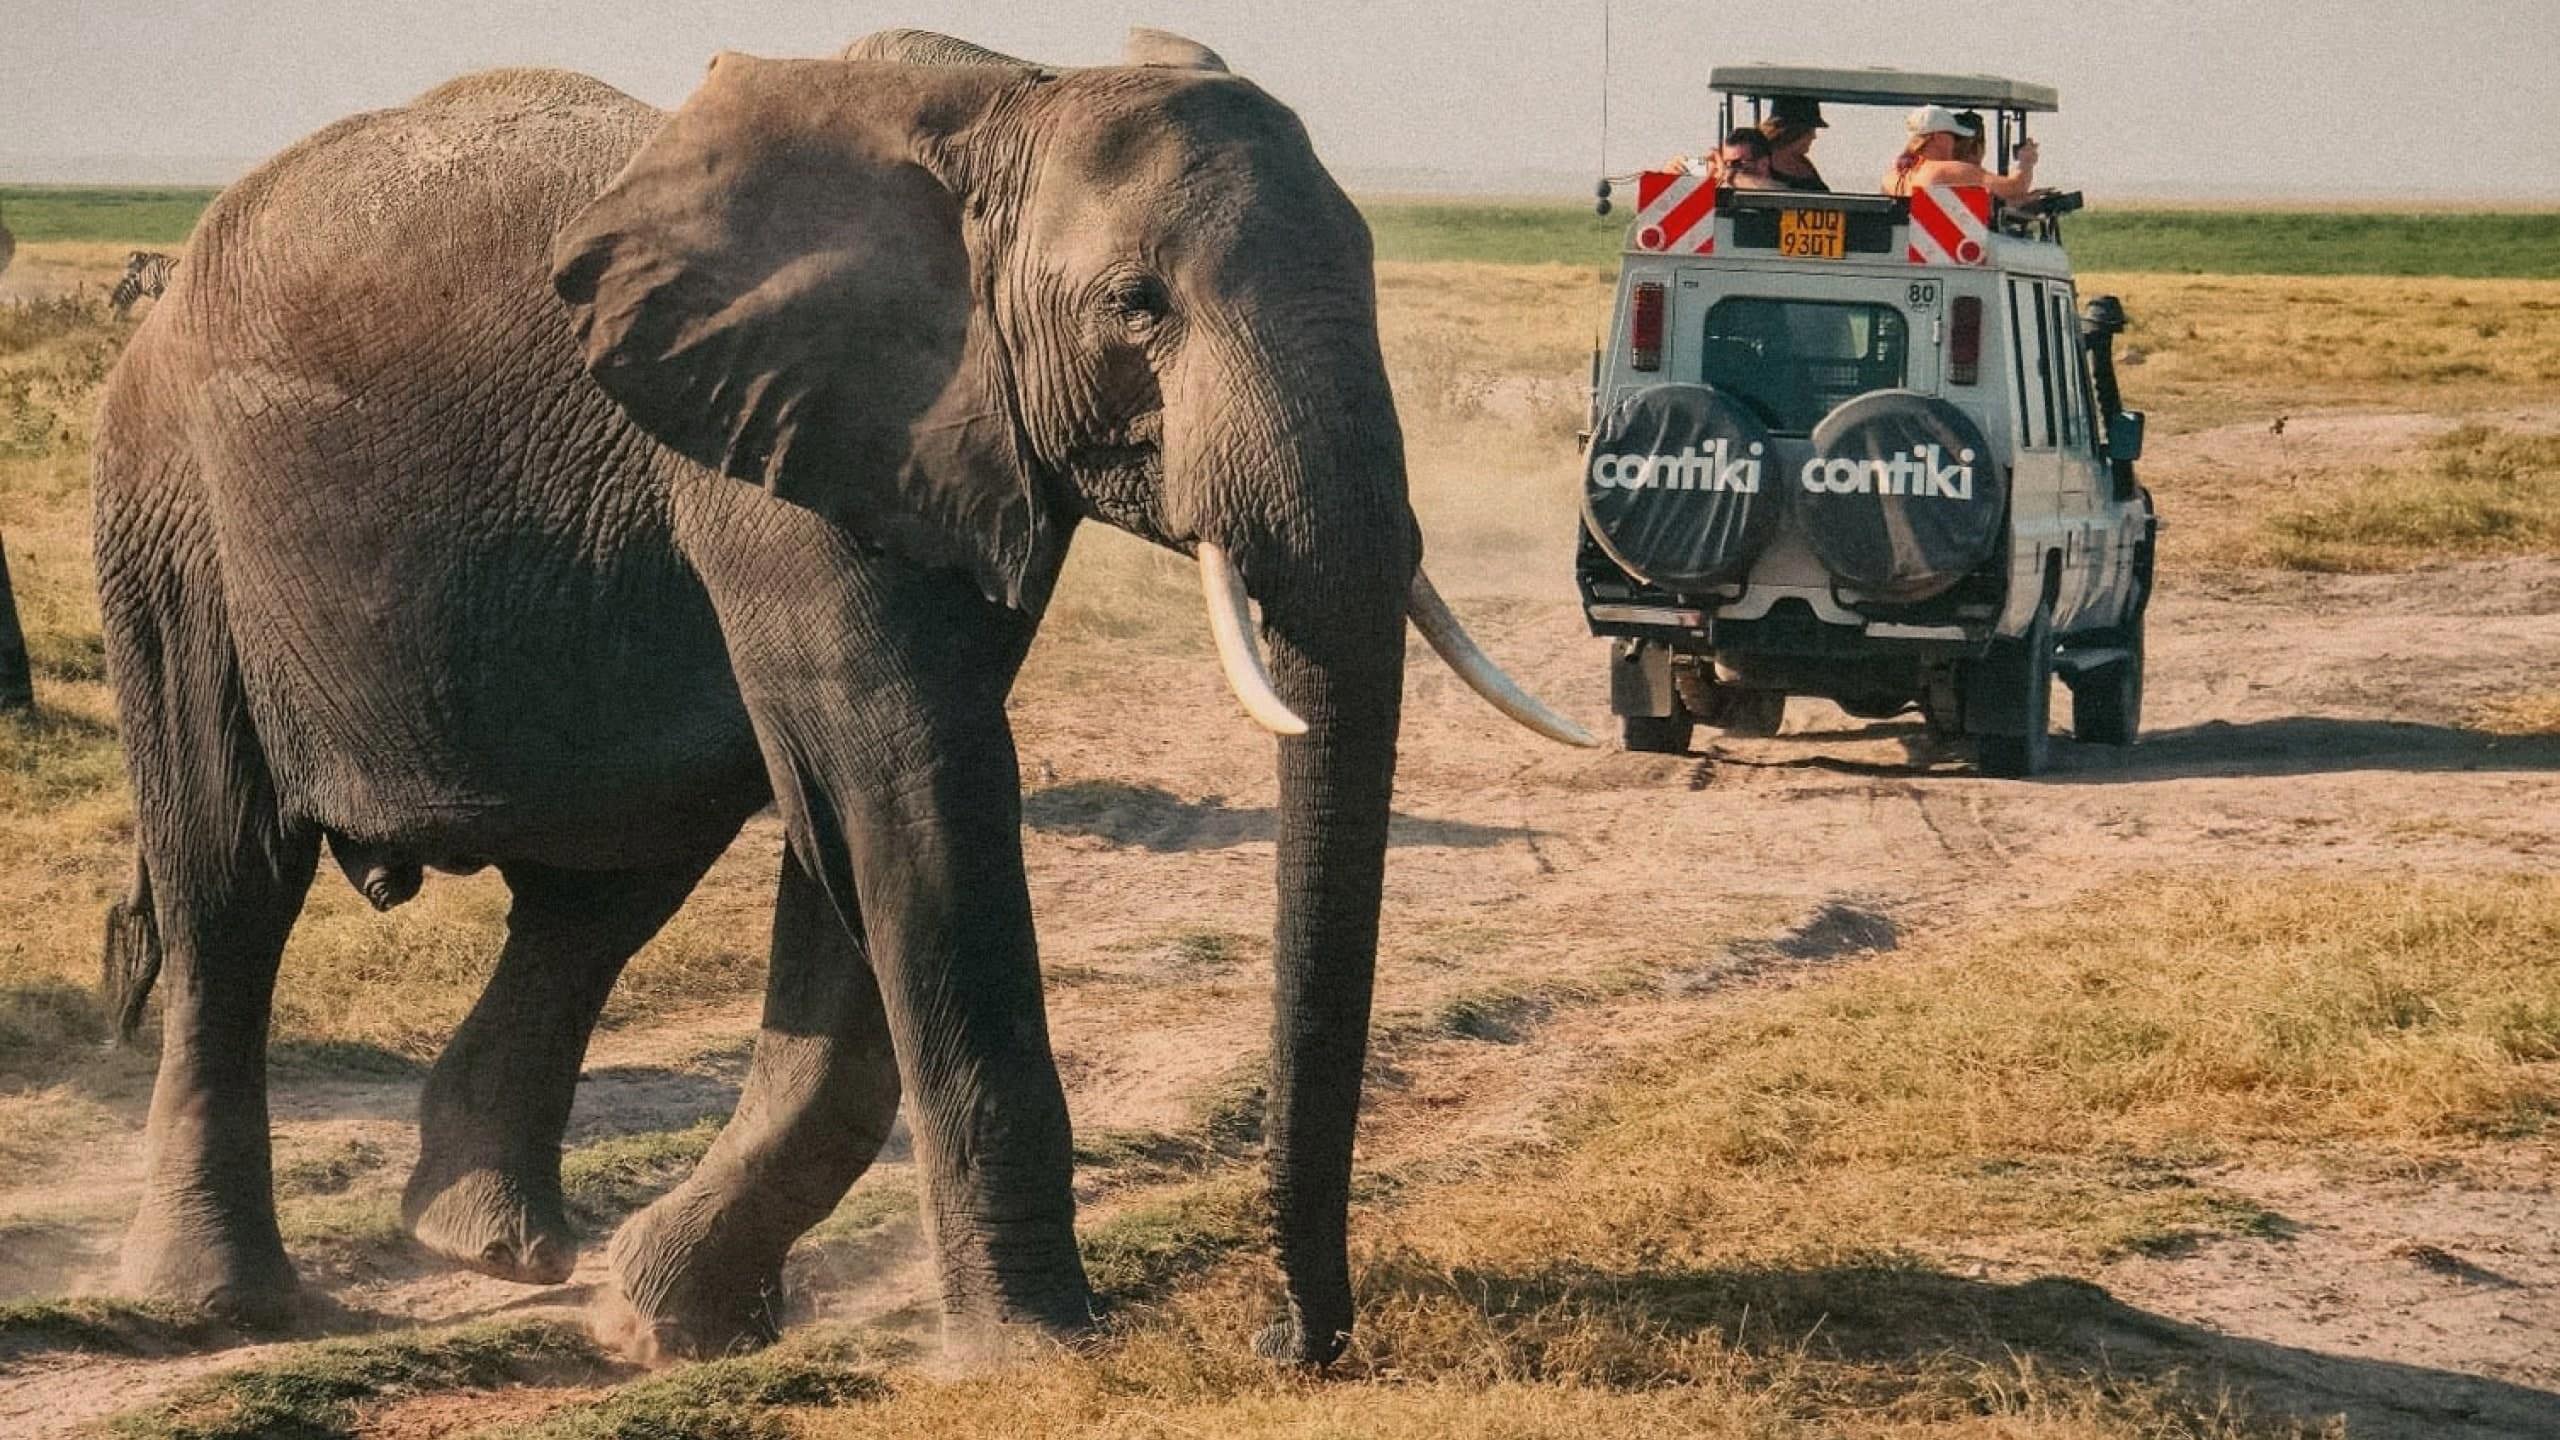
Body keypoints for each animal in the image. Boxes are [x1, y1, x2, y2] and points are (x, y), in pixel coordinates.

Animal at [89, 27, 1587, 1365]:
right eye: (1137, 305)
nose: (1294, 1345)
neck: (1012, 103)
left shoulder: (932, 449)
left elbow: (869, 820)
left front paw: (666, 1318)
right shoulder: (788, 457)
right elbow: (907, 784)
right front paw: (1035, 1355)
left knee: (601, 889)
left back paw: (488, 1248)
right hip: (170, 509)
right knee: (230, 877)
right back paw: (225, 1306)